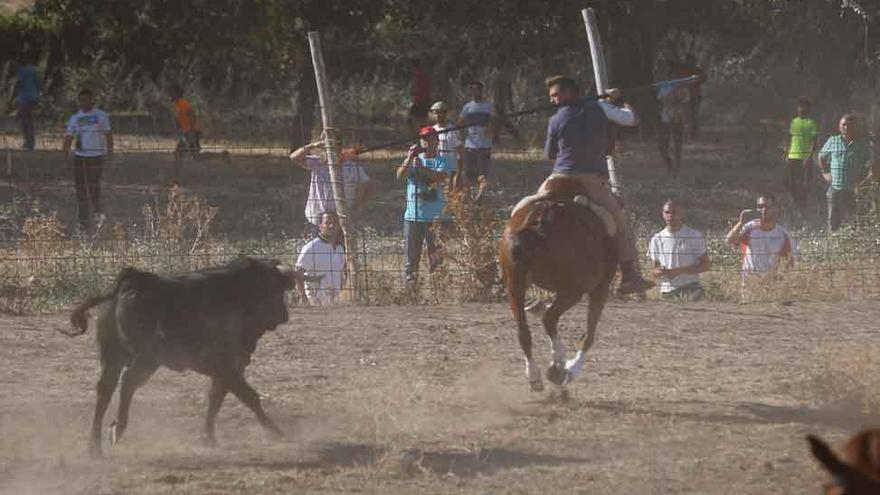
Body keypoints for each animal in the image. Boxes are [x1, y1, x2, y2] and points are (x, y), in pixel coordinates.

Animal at [64, 260, 320, 458]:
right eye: (275, 289)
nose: (284, 316)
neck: (238, 293)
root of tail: (135, 280)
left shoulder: (223, 371)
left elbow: (215, 399)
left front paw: (208, 436)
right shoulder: (229, 366)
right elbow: (249, 397)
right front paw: (275, 432)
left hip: (112, 358)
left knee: (105, 391)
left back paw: (95, 446)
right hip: (147, 359)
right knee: (127, 383)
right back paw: (117, 429)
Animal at [498, 177, 616, 392]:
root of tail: (538, 223)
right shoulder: (600, 289)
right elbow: (589, 334)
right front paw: (570, 369)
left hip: (514, 287)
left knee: (524, 333)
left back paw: (535, 375)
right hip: (573, 291)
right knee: (550, 319)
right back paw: (558, 365)